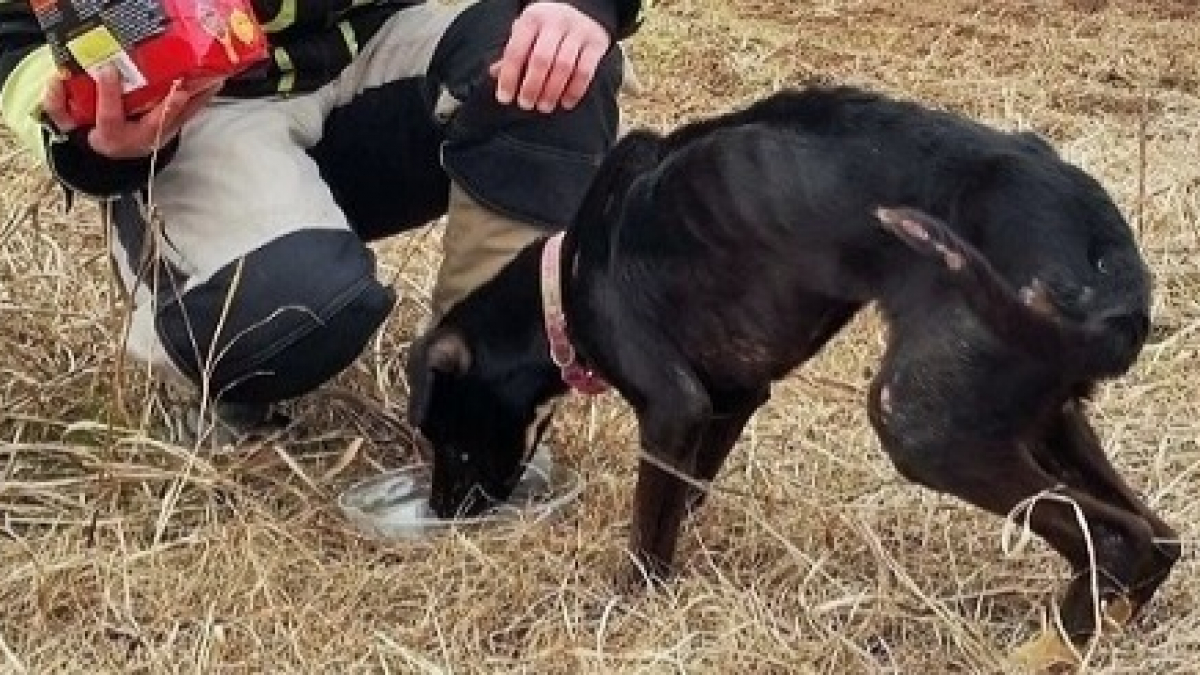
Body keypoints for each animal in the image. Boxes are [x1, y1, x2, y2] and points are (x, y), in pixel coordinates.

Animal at [408, 85, 1176, 653]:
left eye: (447, 436)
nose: (440, 511)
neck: (563, 284)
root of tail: (1114, 273)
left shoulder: (673, 405)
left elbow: (648, 531)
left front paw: (630, 605)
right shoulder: (733, 395)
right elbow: (687, 489)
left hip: (922, 423)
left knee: (1114, 538)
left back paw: (1050, 647)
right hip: (1040, 411)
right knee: (1156, 538)